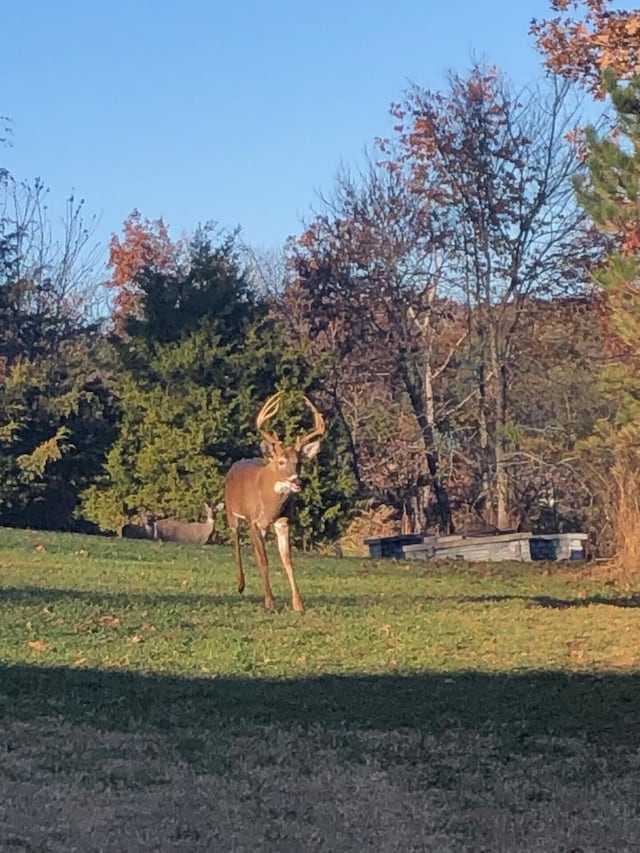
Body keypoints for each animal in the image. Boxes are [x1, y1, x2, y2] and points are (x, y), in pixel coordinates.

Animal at [224, 392, 324, 612]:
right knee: (235, 539)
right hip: (231, 511)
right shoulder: (254, 521)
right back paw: (240, 584)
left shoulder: (283, 521)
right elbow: (263, 559)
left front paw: (298, 604)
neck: (270, 505)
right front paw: (270, 601)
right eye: (281, 461)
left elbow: (287, 561)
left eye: (299, 462)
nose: (297, 481)